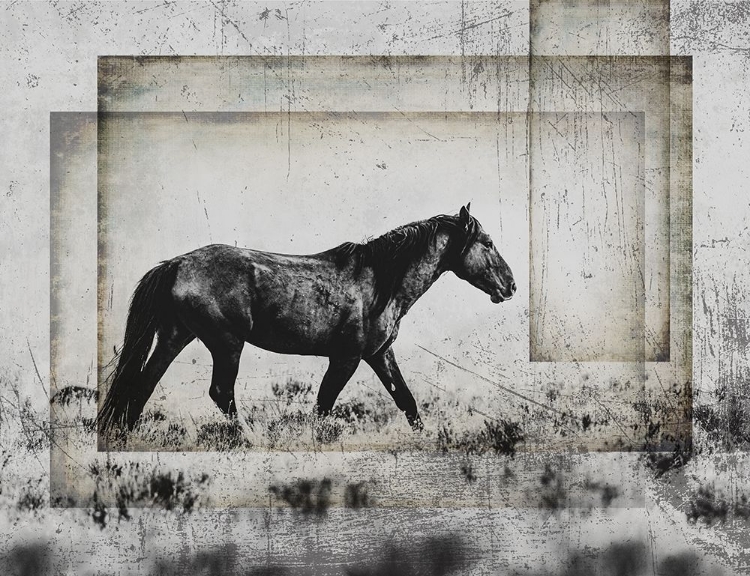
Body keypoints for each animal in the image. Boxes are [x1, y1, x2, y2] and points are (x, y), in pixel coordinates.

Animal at [100, 205, 516, 434]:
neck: (380, 283)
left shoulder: (379, 354)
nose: (510, 286)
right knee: (220, 393)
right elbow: (323, 405)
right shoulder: (347, 358)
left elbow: (407, 402)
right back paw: (249, 438)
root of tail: (175, 264)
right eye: (488, 243)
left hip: (176, 336)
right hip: (226, 344)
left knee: (142, 385)